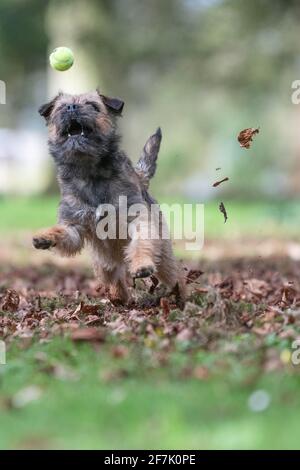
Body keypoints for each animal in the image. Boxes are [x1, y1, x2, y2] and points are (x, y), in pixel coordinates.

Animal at [34, 90, 186, 304]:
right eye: (61, 107)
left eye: (93, 105)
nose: (71, 107)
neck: (89, 172)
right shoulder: (75, 226)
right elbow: (63, 232)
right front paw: (45, 236)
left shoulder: (136, 219)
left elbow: (141, 242)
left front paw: (141, 265)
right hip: (103, 265)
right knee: (115, 279)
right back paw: (120, 298)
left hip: (163, 256)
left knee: (175, 275)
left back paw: (183, 297)